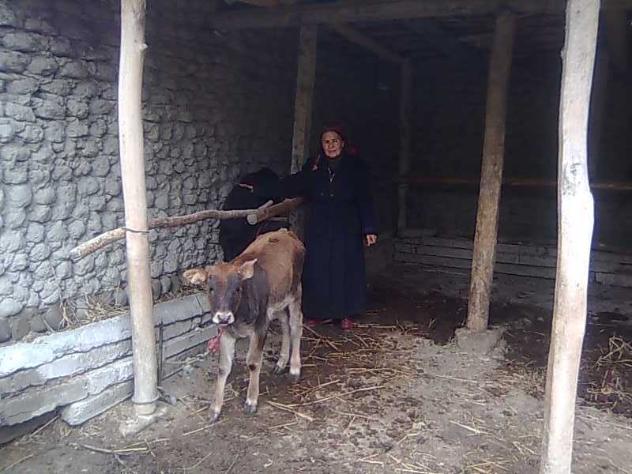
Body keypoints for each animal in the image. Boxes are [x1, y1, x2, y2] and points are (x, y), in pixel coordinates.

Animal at [183, 228, 305, 421]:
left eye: (237, 289)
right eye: (210, 288)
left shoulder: (261, 325)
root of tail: (284, 231)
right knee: (285, 323)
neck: (239, 317)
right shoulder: (226, 331)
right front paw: (215, 408)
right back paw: (281, 362)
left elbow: (253, 362)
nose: (223, 316)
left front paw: (251, 401)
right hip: (276, 302)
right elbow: (223, 367)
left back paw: (294, 368)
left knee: (295, 325)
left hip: (295, 291)